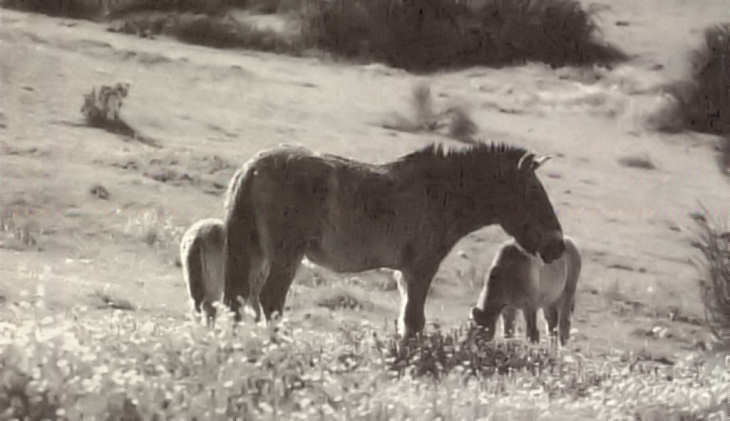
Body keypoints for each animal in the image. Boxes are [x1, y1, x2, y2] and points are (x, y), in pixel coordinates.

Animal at [222, 143, 564, 336]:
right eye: (533, 194)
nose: (557, 246)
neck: (440, 193)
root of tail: (252, 168)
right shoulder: (420, 270)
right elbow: (414, 322)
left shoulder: (404, 274)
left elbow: (407, 321)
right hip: (284, 257)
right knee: (270, 302)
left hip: (255, 254)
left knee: (236, 300)